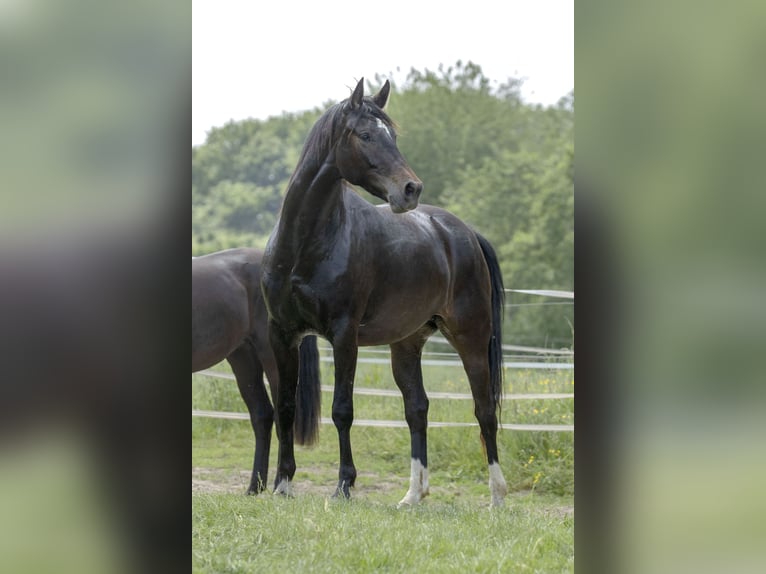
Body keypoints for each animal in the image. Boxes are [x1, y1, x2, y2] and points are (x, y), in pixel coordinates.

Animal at [195, 248, 324, 496]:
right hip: (243, 357)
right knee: (262, 415)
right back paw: (255, 487)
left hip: (272, 357)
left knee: (282, 416)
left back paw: (280, 484)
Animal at [264, 80, 510, 508]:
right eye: (365, 135)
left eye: (392, 136)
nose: (411, 189)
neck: (304, 245)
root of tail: (463, 233)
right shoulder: (282, 333)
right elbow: (286, 407)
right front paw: (282, 484)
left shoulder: (344, 336)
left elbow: (342, 409)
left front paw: (344, 486)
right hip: (407, 344)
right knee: (417, 408)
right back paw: (413, 496)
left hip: (471, 338)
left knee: (484, 411)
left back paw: (496, 497)